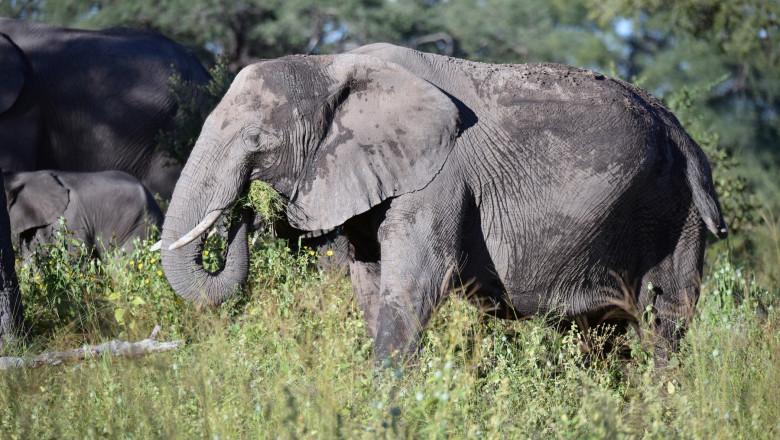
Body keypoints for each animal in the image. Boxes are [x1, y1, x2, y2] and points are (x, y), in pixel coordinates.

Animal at [159, 43, 727, 365]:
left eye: (256, 139)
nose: (245, 212)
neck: (330, 64)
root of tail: (687, 135)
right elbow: (370, 281)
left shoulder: (441, 175)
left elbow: (419, 276)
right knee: (604, 331)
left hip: (674, 211)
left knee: (664, 320)